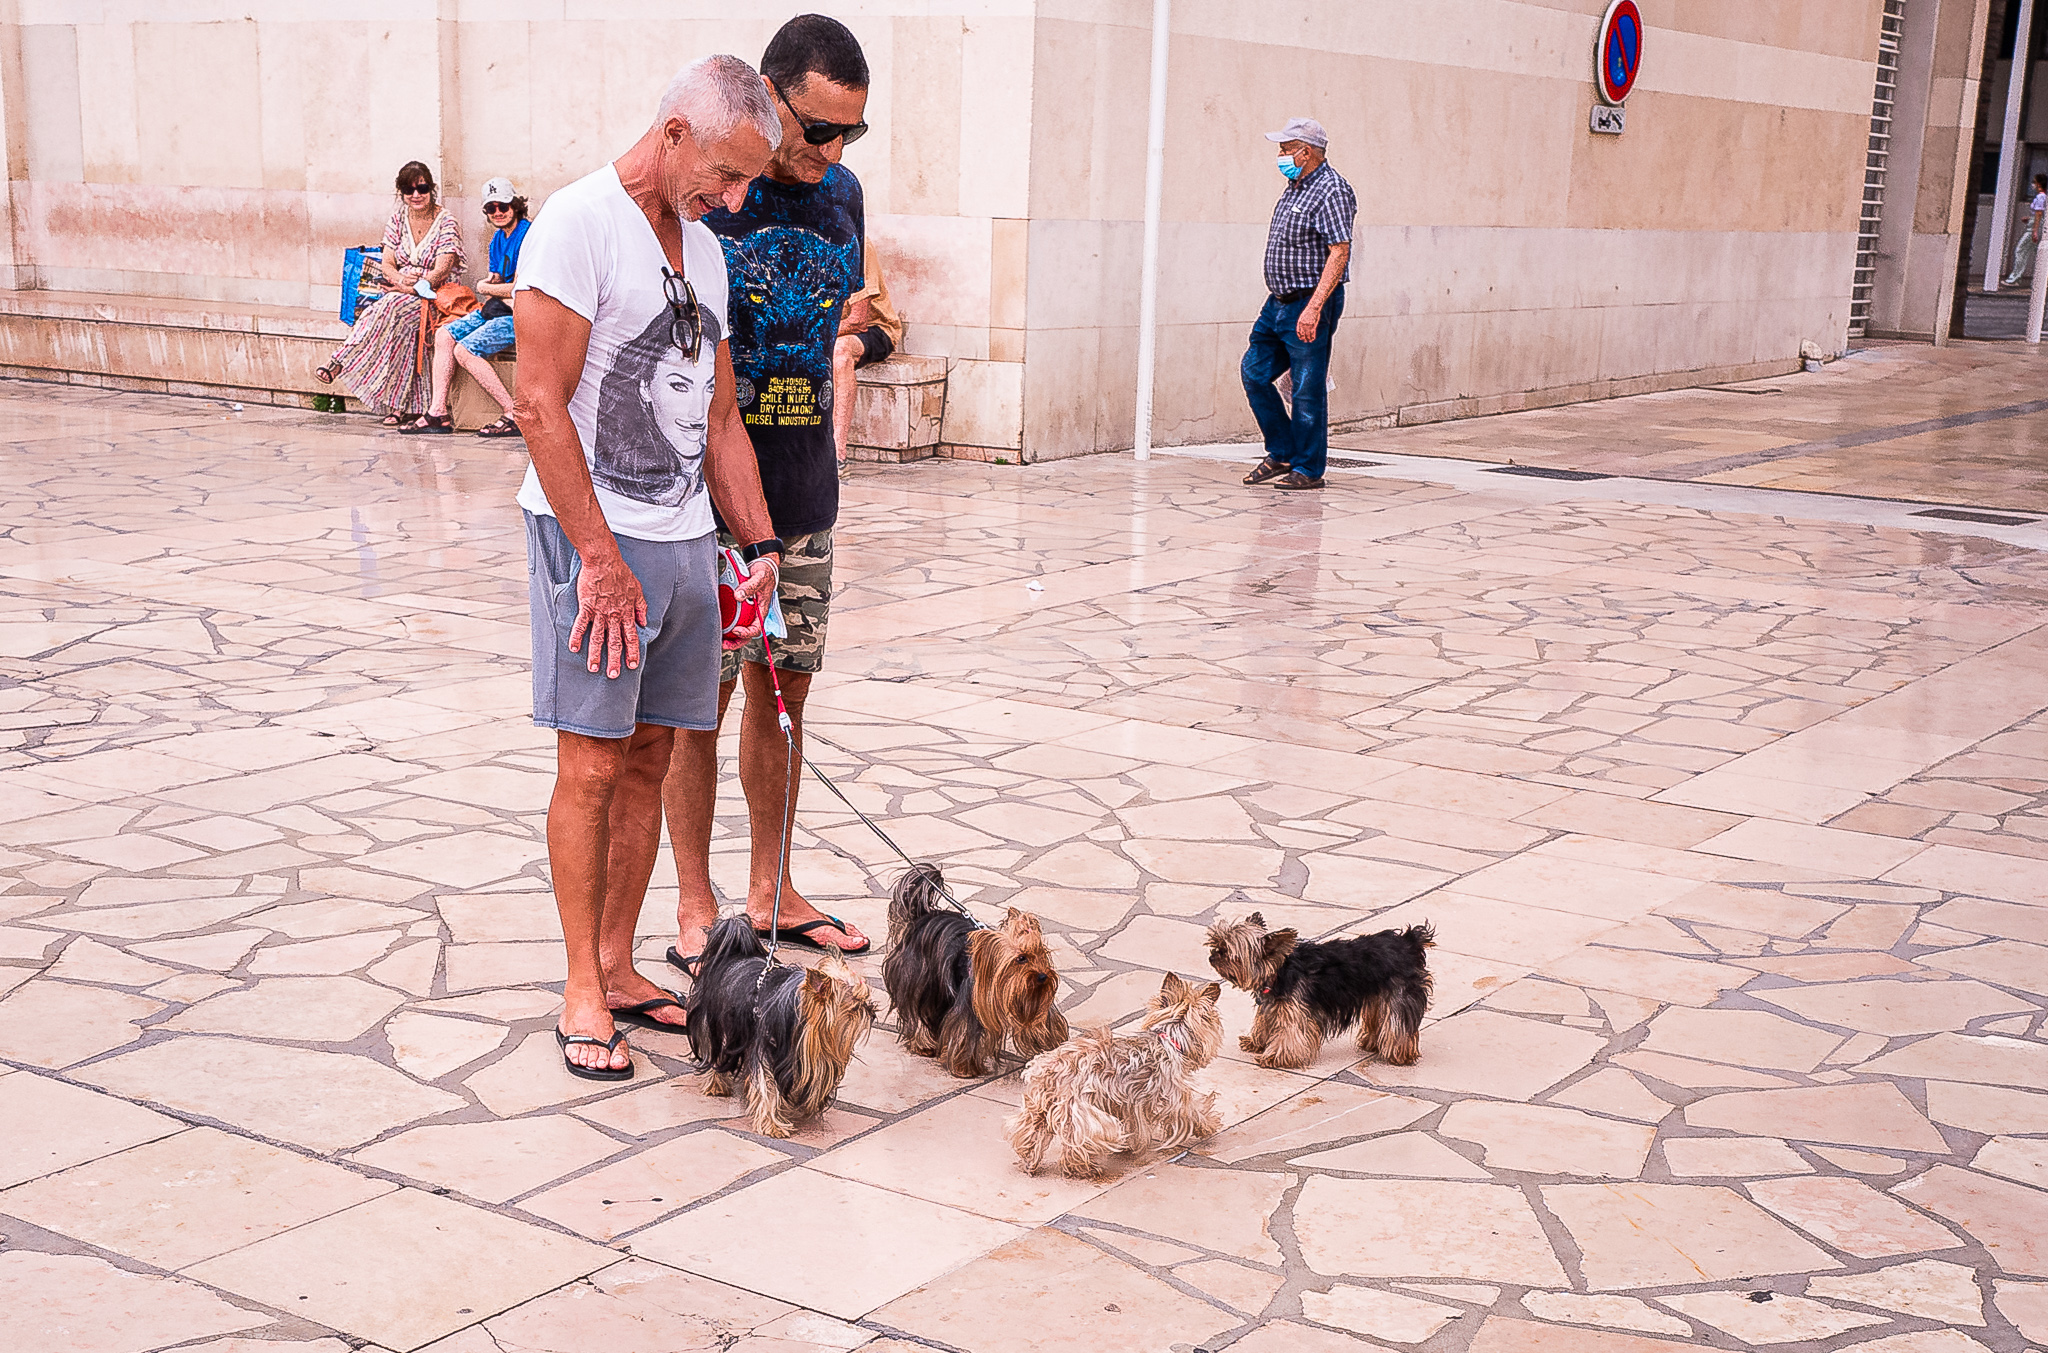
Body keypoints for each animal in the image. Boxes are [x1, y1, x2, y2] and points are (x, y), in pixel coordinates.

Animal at [1204, 912, 1433, 1072]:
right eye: (1216, 944)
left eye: (1227, 952)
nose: (1212, 956)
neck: (1279, 970)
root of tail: (1409, 942)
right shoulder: (1273, 1004)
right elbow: (1264, 1021)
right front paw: (1256, 1042)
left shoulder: (1295, 1009)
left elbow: (1290, 1034)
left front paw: (1274, 1057)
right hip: (1378, 996)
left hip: (1400, 995)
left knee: (1398, 1024)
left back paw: (1400, 1054)